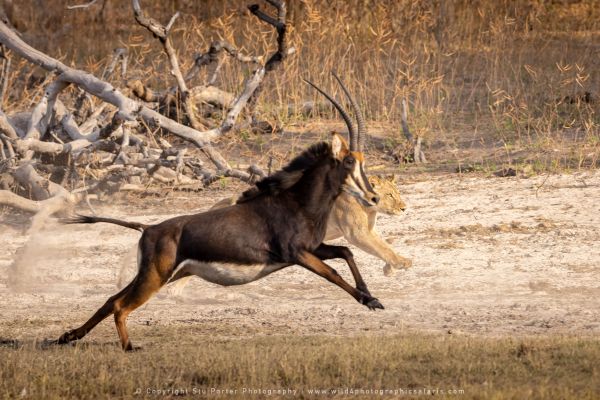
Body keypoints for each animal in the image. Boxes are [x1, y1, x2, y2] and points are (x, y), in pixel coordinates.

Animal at [57, 130, 384, 348]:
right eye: (348, 162)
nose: (373, 197)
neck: (297, 202)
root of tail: (148, 227)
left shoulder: (314, 248)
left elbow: (345, 252)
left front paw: (371, 297)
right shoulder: (297, 254)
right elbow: (332, 273)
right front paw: (369, 300)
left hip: (161, 275)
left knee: (111, 300)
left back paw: (68, 336)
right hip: (155, 277)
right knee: (120, 306)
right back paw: (128, 347)